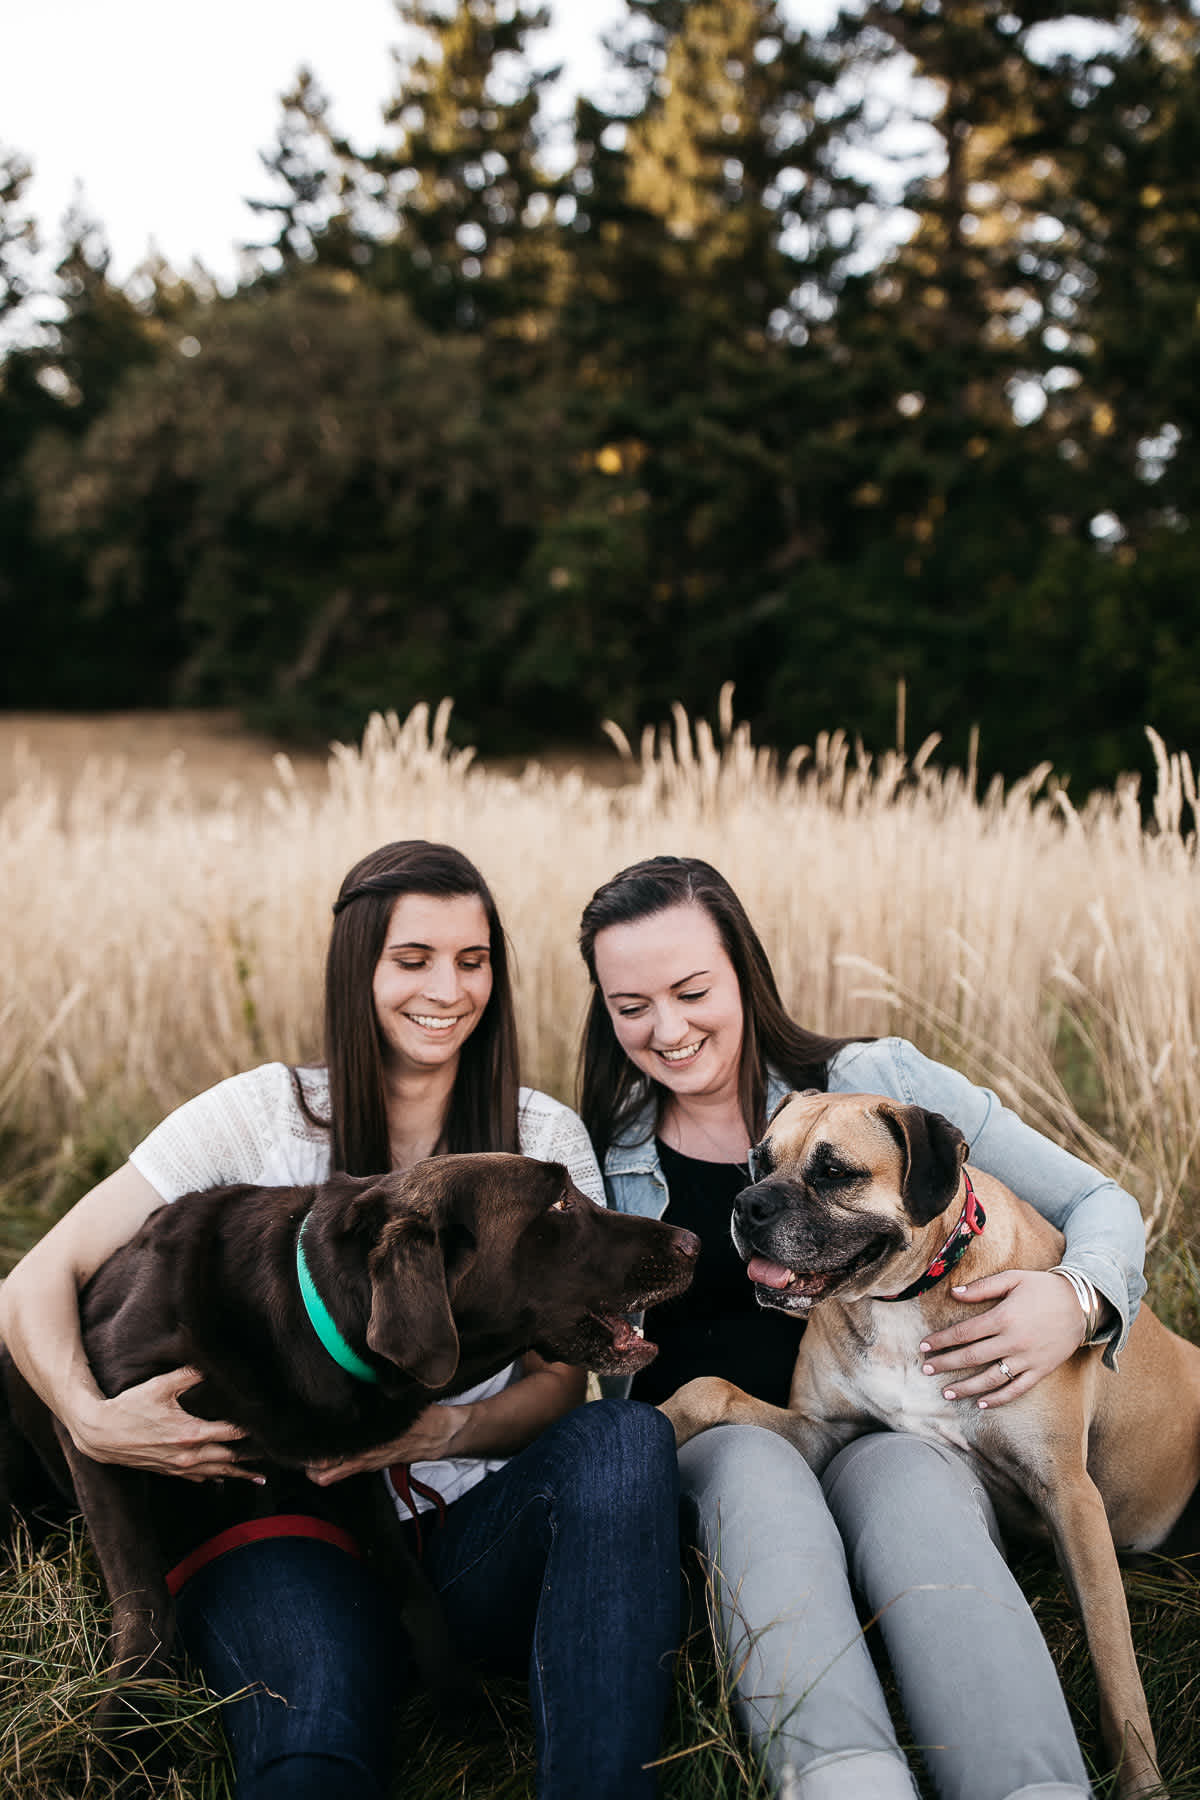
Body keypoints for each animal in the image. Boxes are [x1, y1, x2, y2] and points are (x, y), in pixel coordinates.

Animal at [662, 1087, 1200, 1792]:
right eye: (761, 1161)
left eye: (834, 1172)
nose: (747, 1206)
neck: (905, 1297)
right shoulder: (822, 1432)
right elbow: (707, 1388)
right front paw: (655, 1420)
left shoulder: (1069, 1494)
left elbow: (1116, 1665)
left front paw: (1143, 1783)